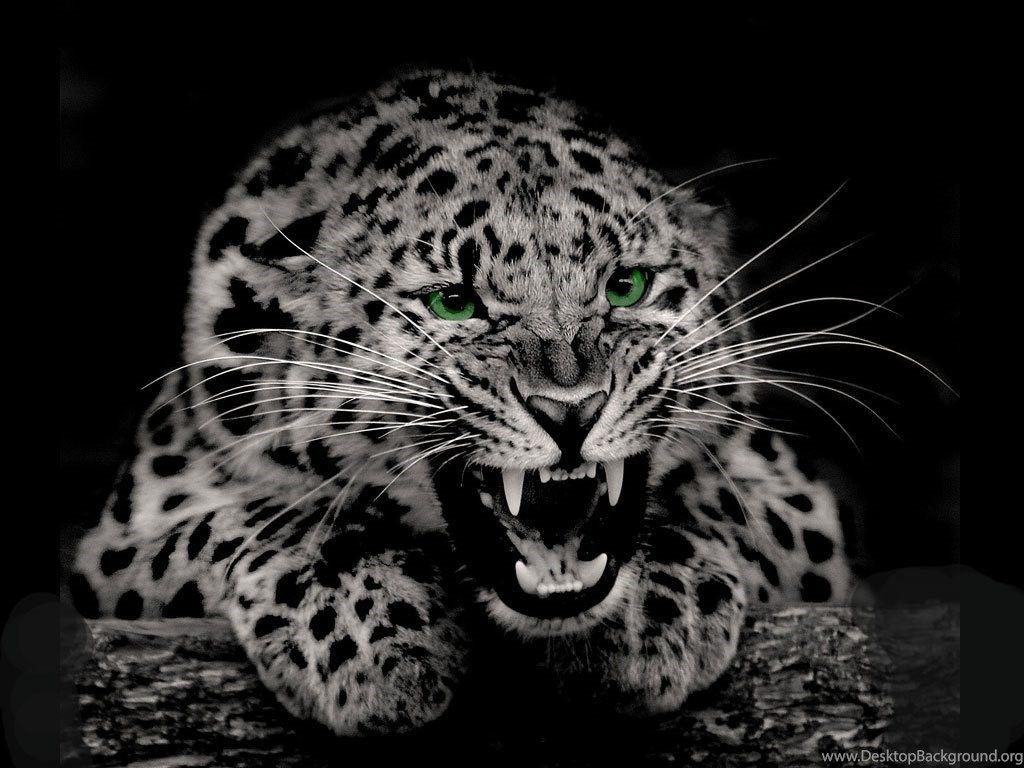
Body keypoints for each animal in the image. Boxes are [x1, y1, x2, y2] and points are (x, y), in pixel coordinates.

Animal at [71, 70, 854, 736]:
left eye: (626, 287)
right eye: (454, 303)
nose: (571, 409)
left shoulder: (800, 507)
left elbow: (719, 501)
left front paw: (656, 608)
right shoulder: (126, 533)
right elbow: (266, 518)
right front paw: (366, 629)